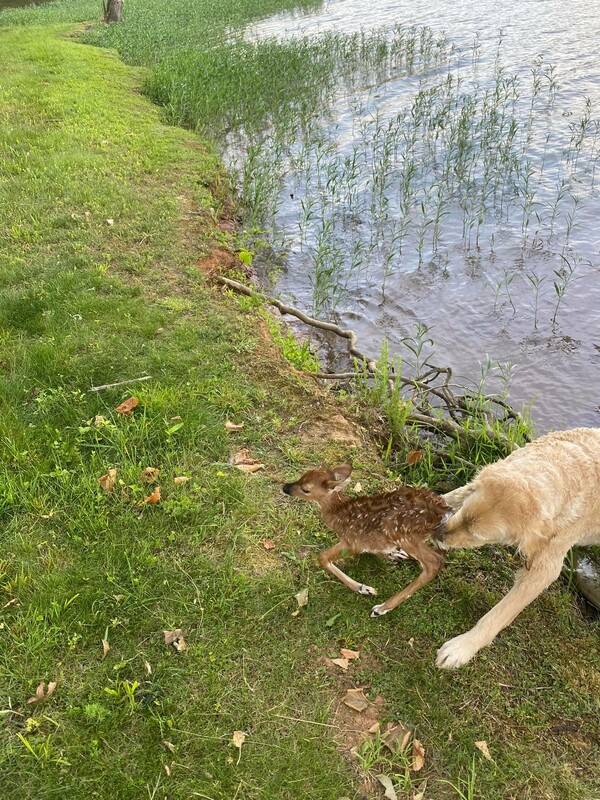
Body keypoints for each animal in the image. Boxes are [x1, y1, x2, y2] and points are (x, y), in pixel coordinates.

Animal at [436, 424, 600, 668]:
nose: (438, 534)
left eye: (476, 535)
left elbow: (499, 614)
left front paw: (462, 647)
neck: (563, 467)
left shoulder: (543, 569)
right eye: (464, 512)